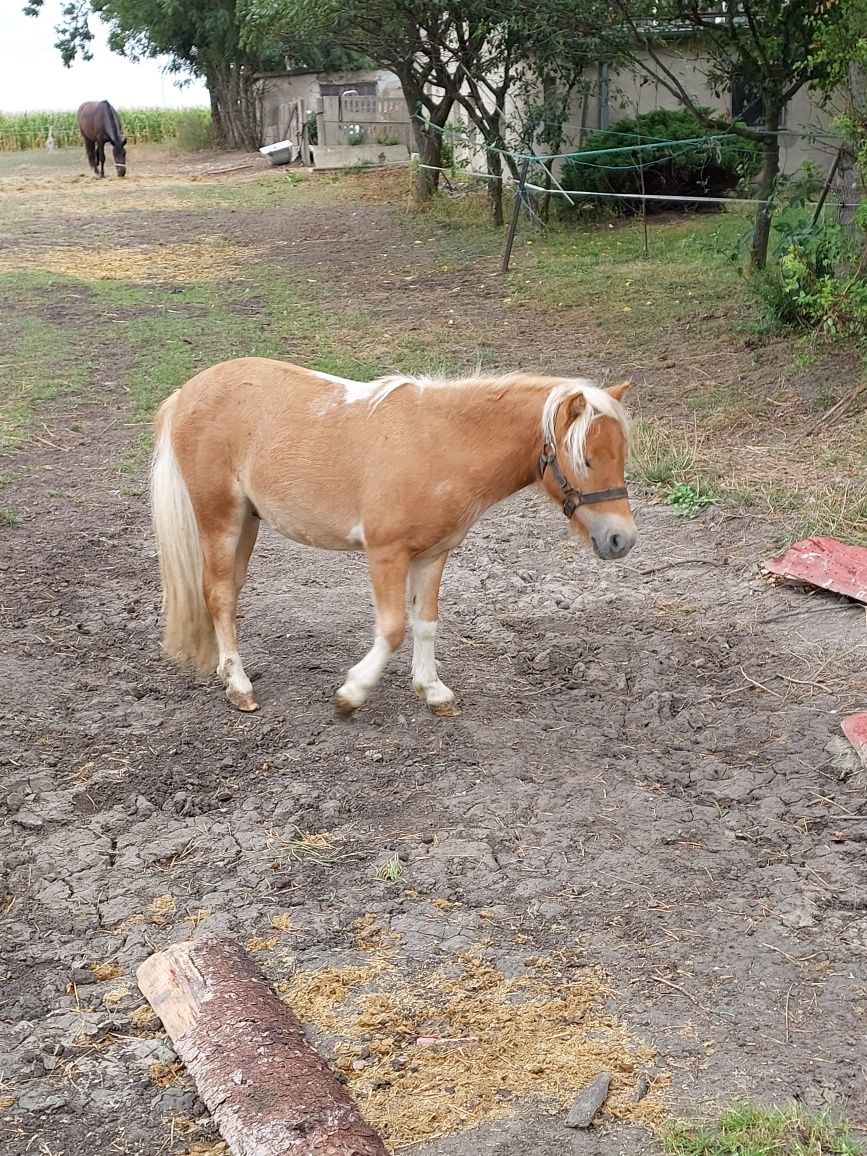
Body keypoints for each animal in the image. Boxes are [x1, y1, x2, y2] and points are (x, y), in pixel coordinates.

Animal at [151, 356, 638, 712]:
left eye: (621, 454)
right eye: (586, 459)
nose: (623, 540)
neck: (442, 445)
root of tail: (187, 392)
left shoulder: (434, 554)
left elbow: (425, 623)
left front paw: (432, 690)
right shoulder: (385, 553)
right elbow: (392, 629)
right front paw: (352, 693)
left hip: (248, 520)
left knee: (228, 591)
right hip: (220, 517)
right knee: (218, 594)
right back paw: (239, 686)